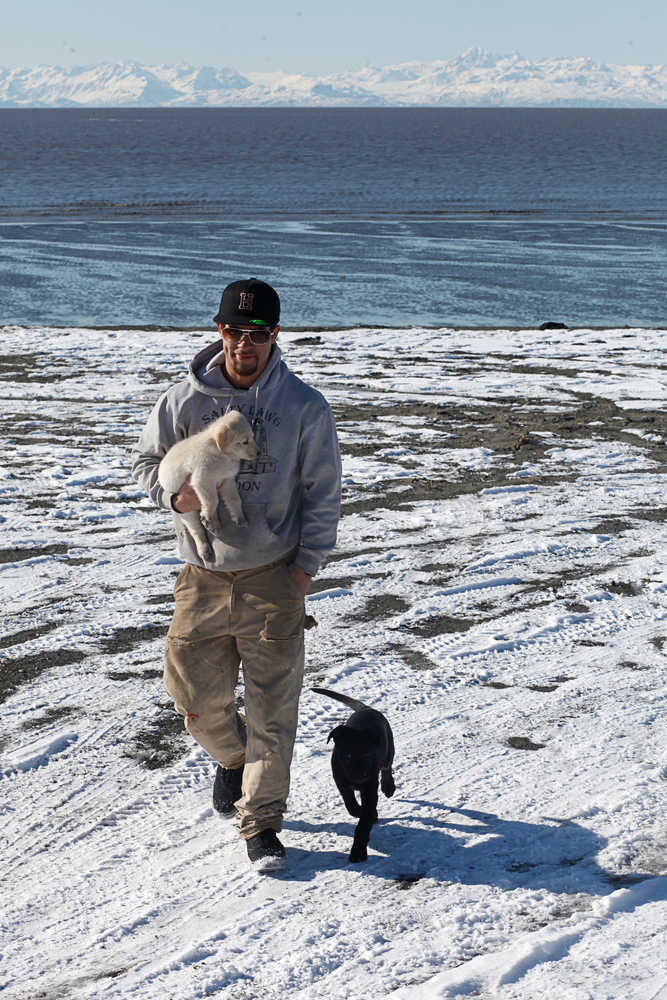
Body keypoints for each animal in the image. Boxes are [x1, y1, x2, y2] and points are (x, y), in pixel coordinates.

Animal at [158, 408, 260, 564]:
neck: (221, 453)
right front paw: (207, 515)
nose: (259, 453)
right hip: (187, 513)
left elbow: (234, 499)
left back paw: (214, 525)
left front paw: (240, 517)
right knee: (197, 531)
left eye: (253, 437)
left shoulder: (227, 480)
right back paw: (204, 548)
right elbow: (212, 500)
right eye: (244, 442)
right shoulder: (203, 480)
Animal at [314, 688, 396, 860]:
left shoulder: (370, 787)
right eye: (348, 755)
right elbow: (350, 804)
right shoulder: (340, 780)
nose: (360, 775)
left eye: (367, 755)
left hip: (388, 751)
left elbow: (363, 824)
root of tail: (366, 708)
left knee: (387, 767)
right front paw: (362, 811)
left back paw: (388, 787)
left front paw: (358, 852)